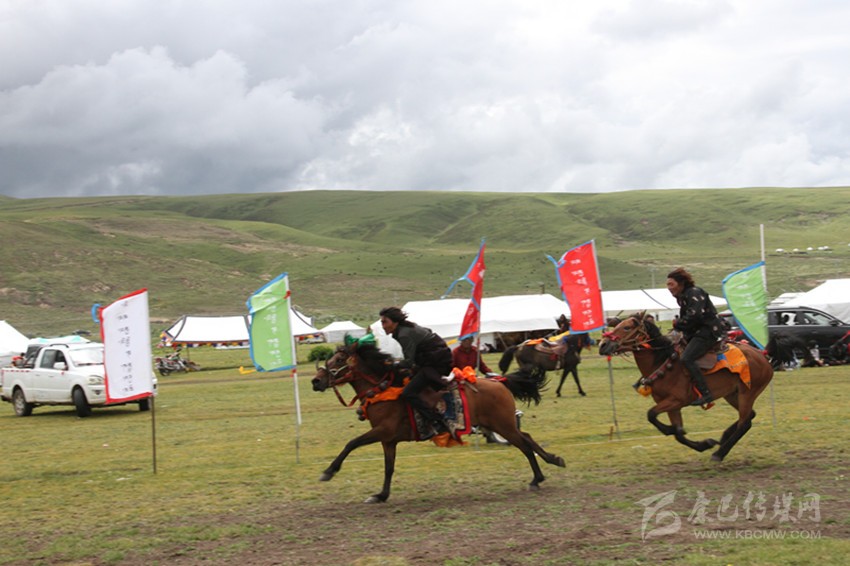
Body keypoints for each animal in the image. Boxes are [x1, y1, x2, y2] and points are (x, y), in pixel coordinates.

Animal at [311, 343, 566, 503]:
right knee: (527, 439)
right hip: (502, 424)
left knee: (524, 444)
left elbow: (351, 444)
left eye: (339, 359)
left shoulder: (382, 431)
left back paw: (539, 476)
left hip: (504, 425)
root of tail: (500, 382)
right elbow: (388, 467)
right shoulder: (388, 440)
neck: (383, 391)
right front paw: (381, 495)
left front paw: (329, 471)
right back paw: (549, 465)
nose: (316, 381)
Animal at [598, 312, 774, 462]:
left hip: (747, 393)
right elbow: (678, 434)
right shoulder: (671, 405)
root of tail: (763, 356)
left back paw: (720, 453)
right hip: (732, 394)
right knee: (750, 416)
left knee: (745, 423)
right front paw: (704, 443)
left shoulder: (677, 400)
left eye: (627, 327)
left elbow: (652, 415)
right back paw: (723, 437)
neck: (664, 361)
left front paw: (672, 430)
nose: (602, 345)